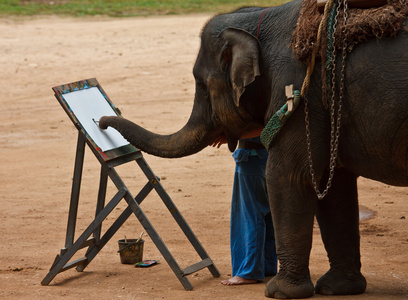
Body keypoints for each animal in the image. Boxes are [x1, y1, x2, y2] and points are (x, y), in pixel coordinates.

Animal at [99, 0, 408, 298]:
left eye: (202, 84)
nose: (101, 121)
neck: (261, 16)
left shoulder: (298, 92)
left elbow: (288, 177)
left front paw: (281, 292)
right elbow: (333, 187)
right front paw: (336, 288)